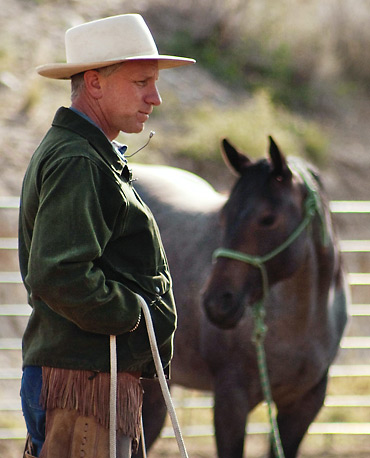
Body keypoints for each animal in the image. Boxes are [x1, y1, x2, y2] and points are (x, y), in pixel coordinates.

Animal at [134, 137, 348, 458]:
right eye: (224, 215)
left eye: (268, 219)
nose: (217, 303)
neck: (298, 323)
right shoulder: (231, 400)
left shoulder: (304, 405)